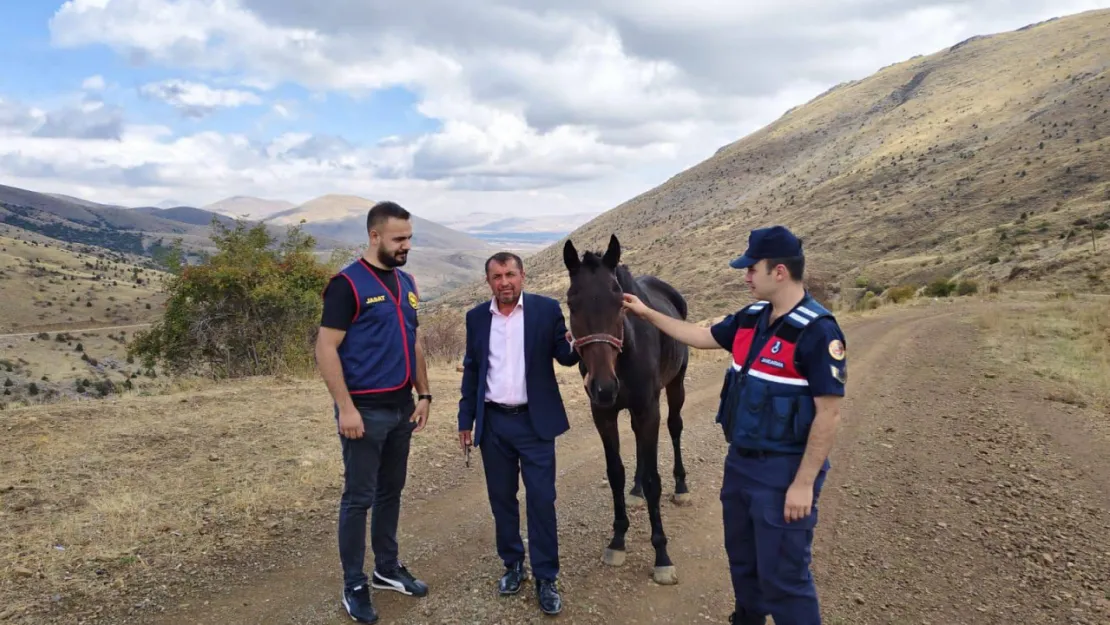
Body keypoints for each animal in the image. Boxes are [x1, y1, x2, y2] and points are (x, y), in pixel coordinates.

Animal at [563, 235, 692, 586]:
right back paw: (636, 490)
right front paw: (618, 539)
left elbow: (654, 480)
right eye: (571, 303)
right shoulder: (603, 414)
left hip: (675, 386)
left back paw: (681, 487)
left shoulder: (648, 409)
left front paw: (662, 555)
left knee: (675, 427)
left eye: (620, 301)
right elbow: (615, 473)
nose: (605, 387)